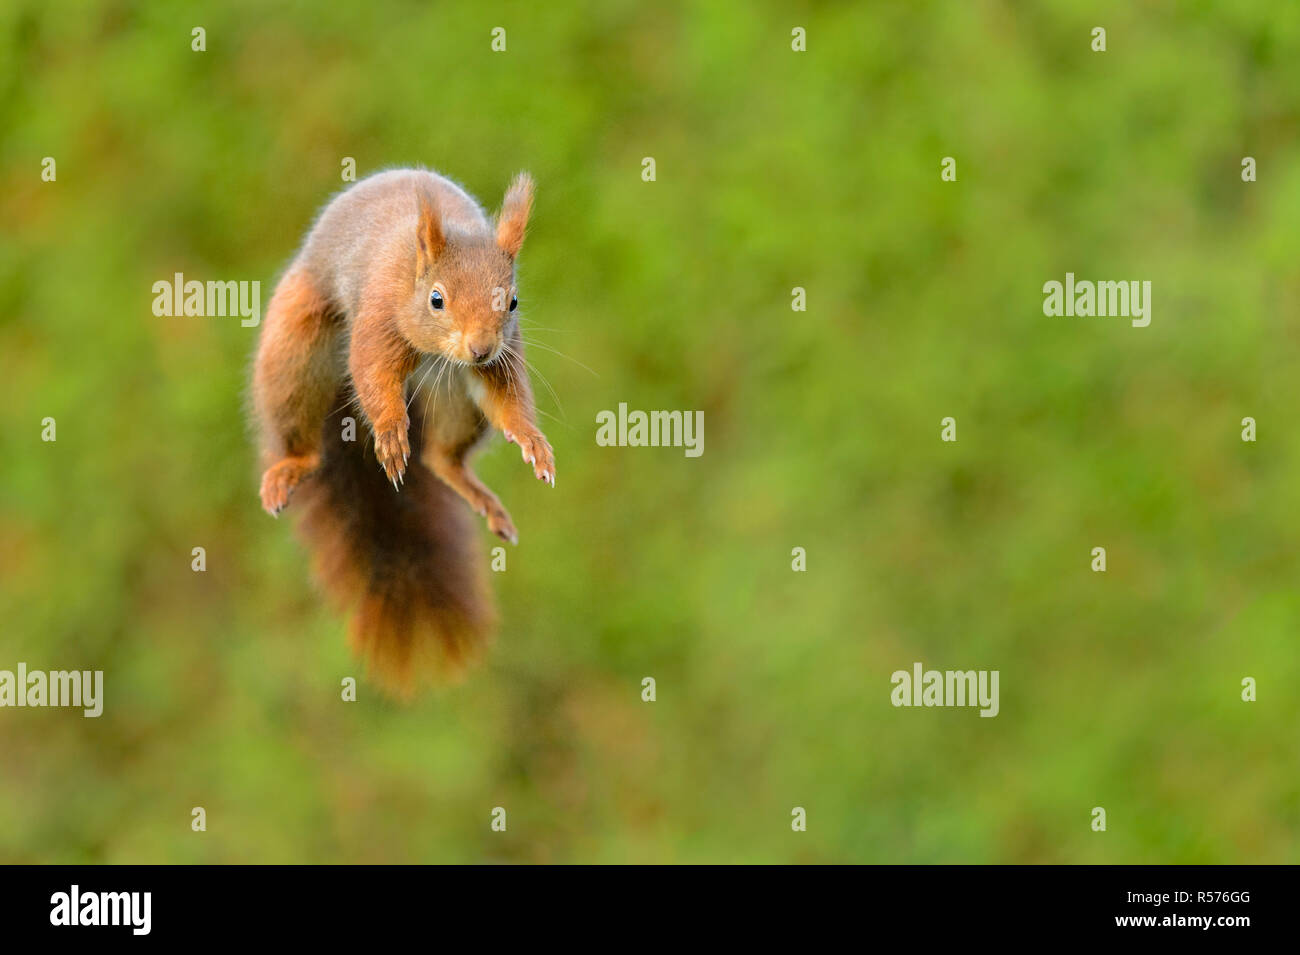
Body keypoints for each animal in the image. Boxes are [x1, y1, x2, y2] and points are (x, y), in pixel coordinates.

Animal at [252, 167, 553, 696]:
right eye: (437, 299)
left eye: (513, 301)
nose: (480, 349)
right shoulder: (377, 314)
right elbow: (373, 374)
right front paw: (391, 433)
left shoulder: (504, 357)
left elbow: (509, 402)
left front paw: (532, 441)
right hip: (295, 351)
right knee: (302, 431)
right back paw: (292, 464)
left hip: (455, 400)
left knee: (441, 458)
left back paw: (475, 491)